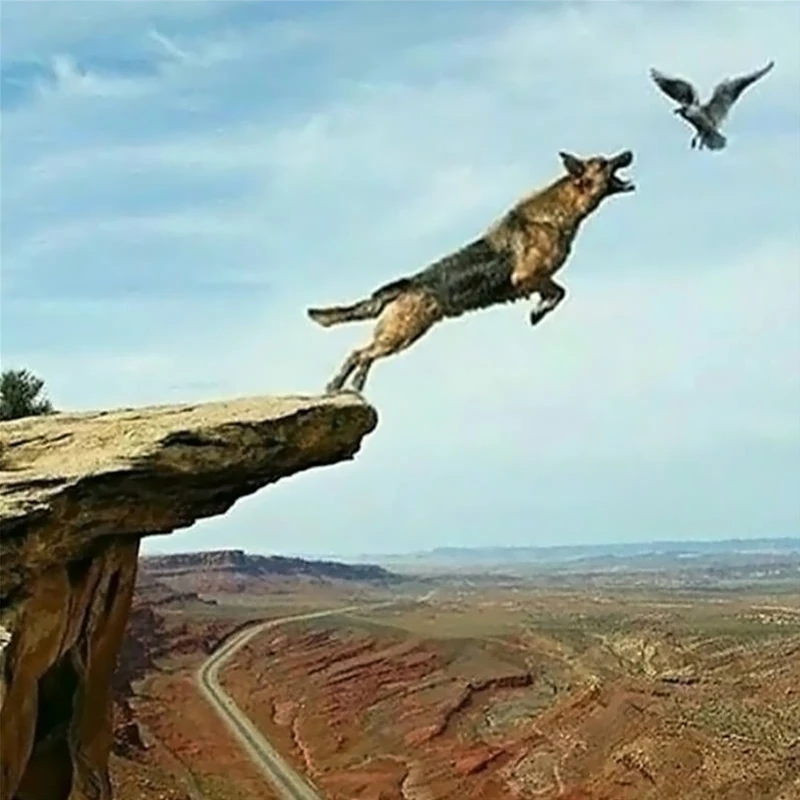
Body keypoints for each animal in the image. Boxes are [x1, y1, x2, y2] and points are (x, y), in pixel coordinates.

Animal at [307, 150, 635, 394]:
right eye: (602, 162)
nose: (628, 152)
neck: (560, 213)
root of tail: (406, 285)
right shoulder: (528, 277)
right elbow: (558, 293)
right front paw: (539, 311)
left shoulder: (538, 280)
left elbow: (557, 292)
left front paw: (540, 309)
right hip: (401, 333)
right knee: (359, 352)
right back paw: (339, 385)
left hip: (397, 335)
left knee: (366, 355)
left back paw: (352, 385)